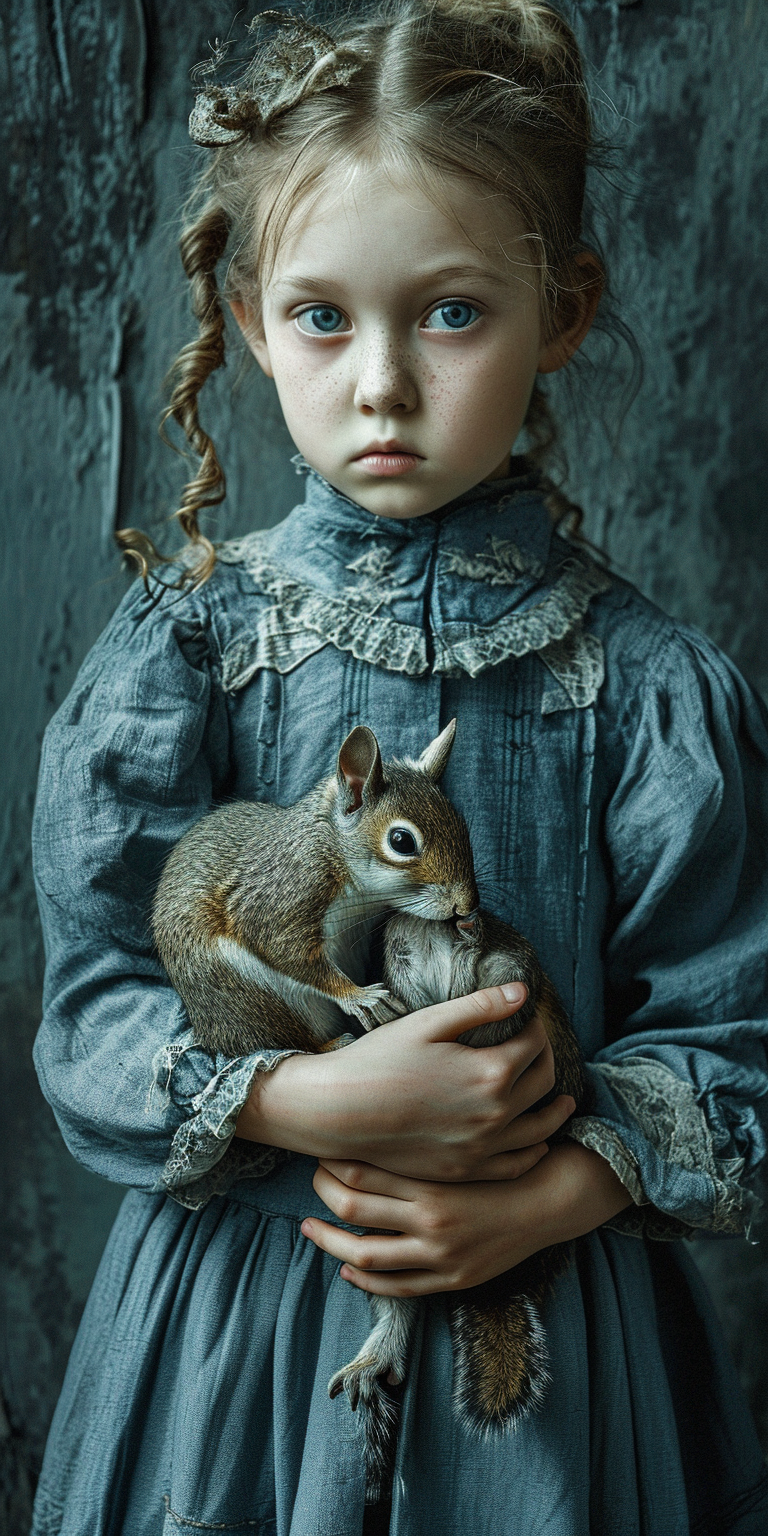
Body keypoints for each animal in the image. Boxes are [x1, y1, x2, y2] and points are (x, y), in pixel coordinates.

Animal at [152, 718, 589, 1499]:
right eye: (404, 842)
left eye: (464, 825)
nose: (467, 910)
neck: (342, 861)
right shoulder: (283, 898)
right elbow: (293, 949)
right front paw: (360, 995)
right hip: (248, 998)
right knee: (294, 1037)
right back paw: (338, 1041)